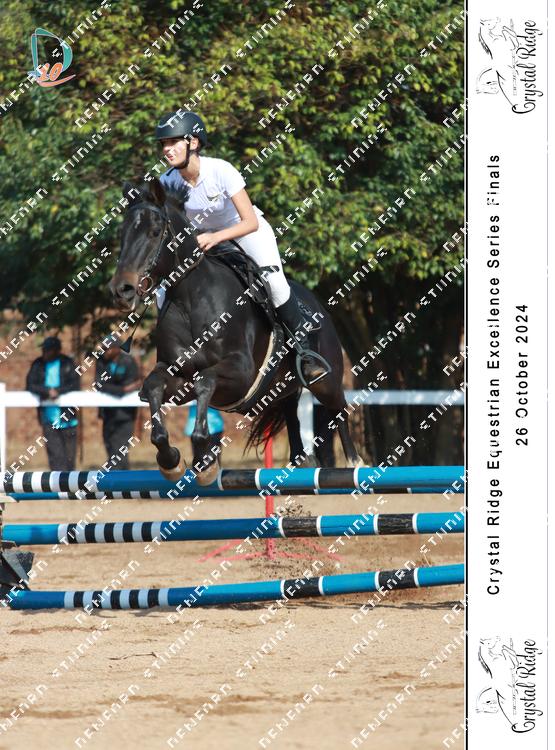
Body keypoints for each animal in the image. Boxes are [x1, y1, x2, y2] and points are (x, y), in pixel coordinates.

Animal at [109, 177, 363, 485]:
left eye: (155, 232)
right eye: (121, 233)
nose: (121, 290)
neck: (190, 299)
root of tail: (317, 306)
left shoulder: (240, 373)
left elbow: (205, 381)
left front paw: (204, 463)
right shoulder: (176, 375)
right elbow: (154, 386)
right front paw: (171, 461)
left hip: (325, 381)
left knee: (339, 409)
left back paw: (354, 462)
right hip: (281, 387)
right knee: (291, 411)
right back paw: (301, 462)